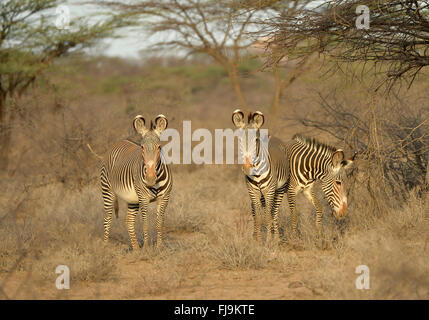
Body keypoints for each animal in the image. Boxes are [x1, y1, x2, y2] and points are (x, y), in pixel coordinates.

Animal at [100, 114, 172, 250]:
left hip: (132, 199)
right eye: (142, 147)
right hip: (107, 191)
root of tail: (120, 141)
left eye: (159, 147)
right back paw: (105, 247)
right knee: (107, 218)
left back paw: (136, 249)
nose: (150, 178)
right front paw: (146, 248)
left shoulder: (165, 198)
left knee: (128, 221)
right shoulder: (143, 198)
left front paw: (160, 247)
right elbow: (145, 224)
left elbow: (160, 223)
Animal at [232, 108, 290, 242]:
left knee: (274, 213)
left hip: (279, 189)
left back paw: (276, 238)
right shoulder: (253, 192)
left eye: (256, 141)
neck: (257, 173)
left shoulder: (269, 191)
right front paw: (258, 242)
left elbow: (268, 217)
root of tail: (272, 136)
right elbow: (258, 218)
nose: (247, 167)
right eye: (240, 140)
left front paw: (268, 241)